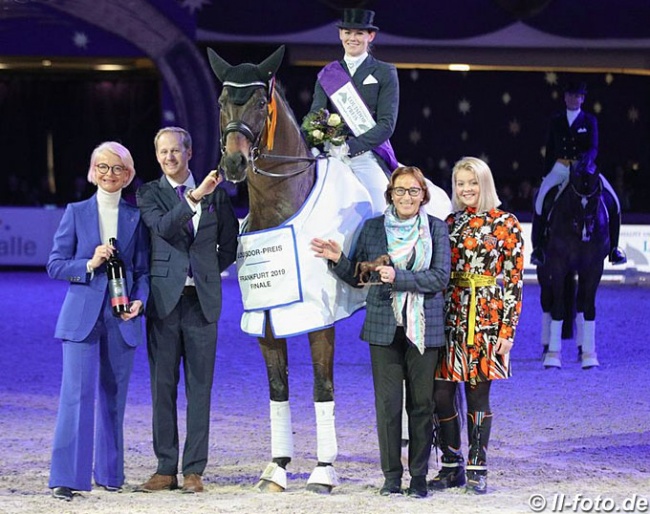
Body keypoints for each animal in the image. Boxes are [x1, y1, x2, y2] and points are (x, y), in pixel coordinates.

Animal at [205, 47, 372, 492]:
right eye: (220, 102)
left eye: (261, 103)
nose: (233, 163)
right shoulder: (265, 319)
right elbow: (278, 390)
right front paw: (277, 468)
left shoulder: (319, 318)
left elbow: (321, 387)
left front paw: (323, 472)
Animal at [536, 156, 608, 368]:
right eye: (575, 198)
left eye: (595, 199)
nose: (585, 232)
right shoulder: (558, 265)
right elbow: (558, 308)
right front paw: (553, 357)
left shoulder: (594, 267)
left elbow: (589, 309)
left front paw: (590, 356)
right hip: (544, 271)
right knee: (547, 302)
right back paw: (546, 349)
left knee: (580, 305)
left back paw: (581, 349)